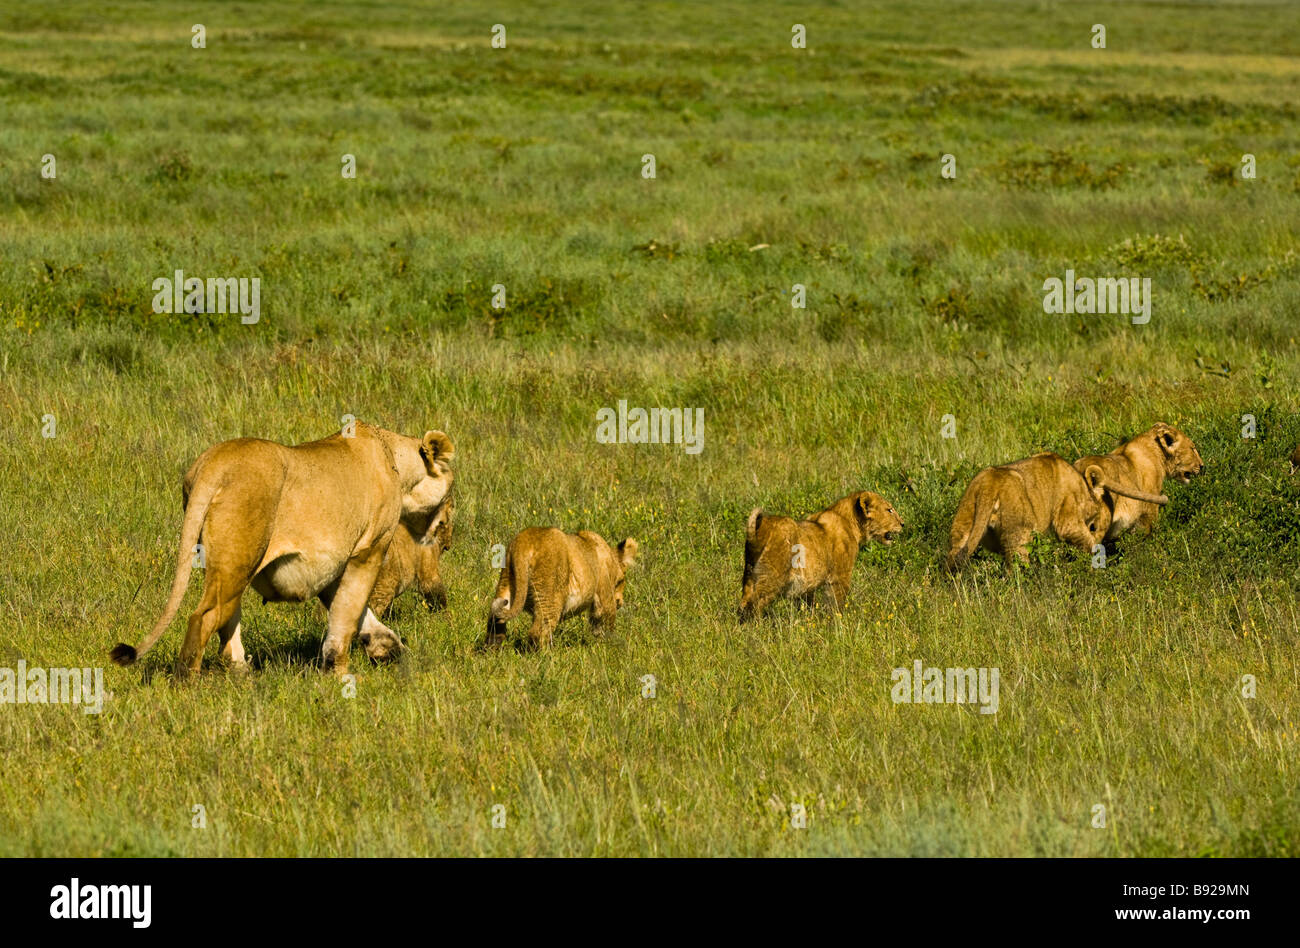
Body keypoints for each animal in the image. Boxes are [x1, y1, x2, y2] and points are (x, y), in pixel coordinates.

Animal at [110, 423, 454, 675]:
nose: (449, 540)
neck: (395, 459)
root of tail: (213, 465)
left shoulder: (333, 565)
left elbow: (355, 614)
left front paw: (388, 648)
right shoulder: (368, 551)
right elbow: (347, 616)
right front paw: (339, 674)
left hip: (229, 564)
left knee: (227, 620)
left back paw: (242, 674)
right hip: (239, 558)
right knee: (204, 617)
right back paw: (187, 684)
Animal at [485, 528, 637, 649]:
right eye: (621, 581)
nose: (620, 602)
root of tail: (524, 542)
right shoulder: (605, 596)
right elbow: (606, 622)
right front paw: (609, 648)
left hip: (506, 584)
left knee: (495, 622)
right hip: (550, 596)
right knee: (538, 631)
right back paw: (546, 657)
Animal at [738, 491, 902, 622]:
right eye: (889, 510)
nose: (903, 524)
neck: (850, 522)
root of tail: (759, 529)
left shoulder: (807, 585)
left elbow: (807, 605)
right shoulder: (840, 577)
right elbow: (836, 604)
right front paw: (837, 623)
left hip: (749, 574)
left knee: (743, 604)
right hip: (771, 577)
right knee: (753, 604)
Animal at [945, 452, 1168, 571]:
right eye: (1094, 527)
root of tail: (989, 485)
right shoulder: (1067, 520)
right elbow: (1086, 542)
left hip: (963, 526)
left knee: (953, 557)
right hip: (1019, 534)